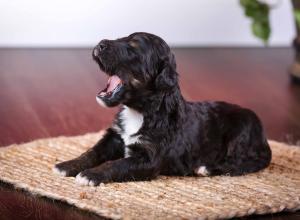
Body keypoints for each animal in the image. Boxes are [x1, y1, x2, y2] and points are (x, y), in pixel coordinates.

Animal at [53, 32, 272, 186]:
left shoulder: (148, 158)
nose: (100, 44)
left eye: (133, 48)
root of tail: (264, 139)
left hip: (241, 131)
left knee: (242, 162)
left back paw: (206, 168)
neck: (139, 111)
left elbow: (118, 163)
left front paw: (91, 175)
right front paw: (67, 165)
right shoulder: (114, 137)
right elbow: (92, 152)